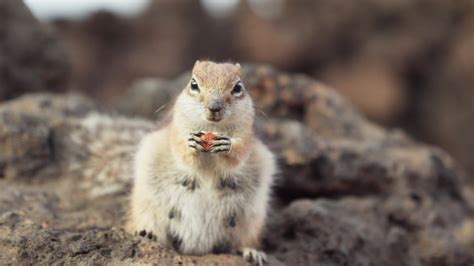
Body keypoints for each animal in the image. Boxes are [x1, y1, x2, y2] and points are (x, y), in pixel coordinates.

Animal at [128, 60, 276, 266]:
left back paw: (251, 252)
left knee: (240, 242)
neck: (211, 128)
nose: (214, 107)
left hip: (250, 220)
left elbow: (238, 154)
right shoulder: (176, 129)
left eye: (238, 87)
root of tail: (197, 246)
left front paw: (227, 146)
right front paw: (191, 145)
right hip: (146, 208)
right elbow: (181, 151)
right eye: (193, 84)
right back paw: (147, 234)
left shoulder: (246, 134)